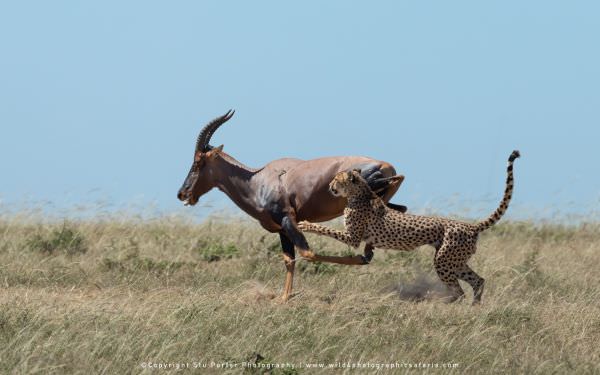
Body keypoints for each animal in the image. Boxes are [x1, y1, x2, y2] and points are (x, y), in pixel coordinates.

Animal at [176, 110, 406, 302]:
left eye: (198, 161)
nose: (182, 193)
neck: (259, 180)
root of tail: (385, 165)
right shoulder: (282, 230)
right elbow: (289, 259)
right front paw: (284, 298)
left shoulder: (288, 220)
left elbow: (307, 253)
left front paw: (359, 258)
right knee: (400, 206)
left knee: (398, 185)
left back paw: (367, 250)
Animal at [300, 151, 520, 306]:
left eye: (337, 179)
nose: (329, 186)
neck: (360, 192)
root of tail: (471, 226)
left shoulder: (352, 238)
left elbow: (327, 230)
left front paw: (305, 224)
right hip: (455, 261)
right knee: (478, 281)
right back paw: (475, 307)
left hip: (444, 261)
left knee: (459, 292)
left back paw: (441, 307)